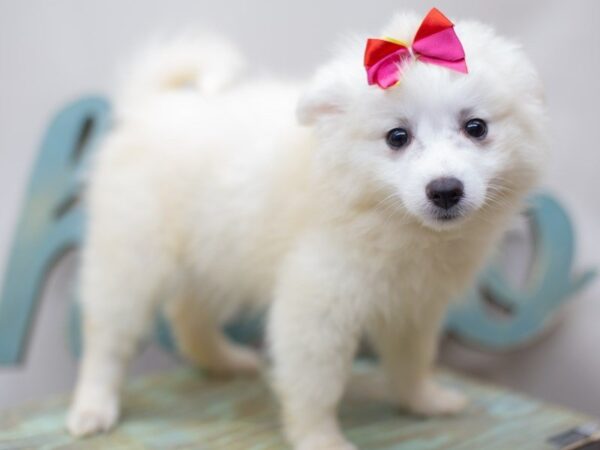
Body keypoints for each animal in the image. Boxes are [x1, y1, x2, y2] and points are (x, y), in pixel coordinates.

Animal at [68, 10, 548, 450]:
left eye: (476, 128)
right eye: (397, 137)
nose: (445, 190)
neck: (389, 220)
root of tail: (146, 107)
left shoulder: (414, 305)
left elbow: (411, 360)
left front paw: (424, 400)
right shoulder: (317, 302)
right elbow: (316, 385)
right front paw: (320, 439)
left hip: (213, 253)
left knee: (188, 314)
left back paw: (224, 361)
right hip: (130, 257)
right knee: (107, 338)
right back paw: (93, 407)